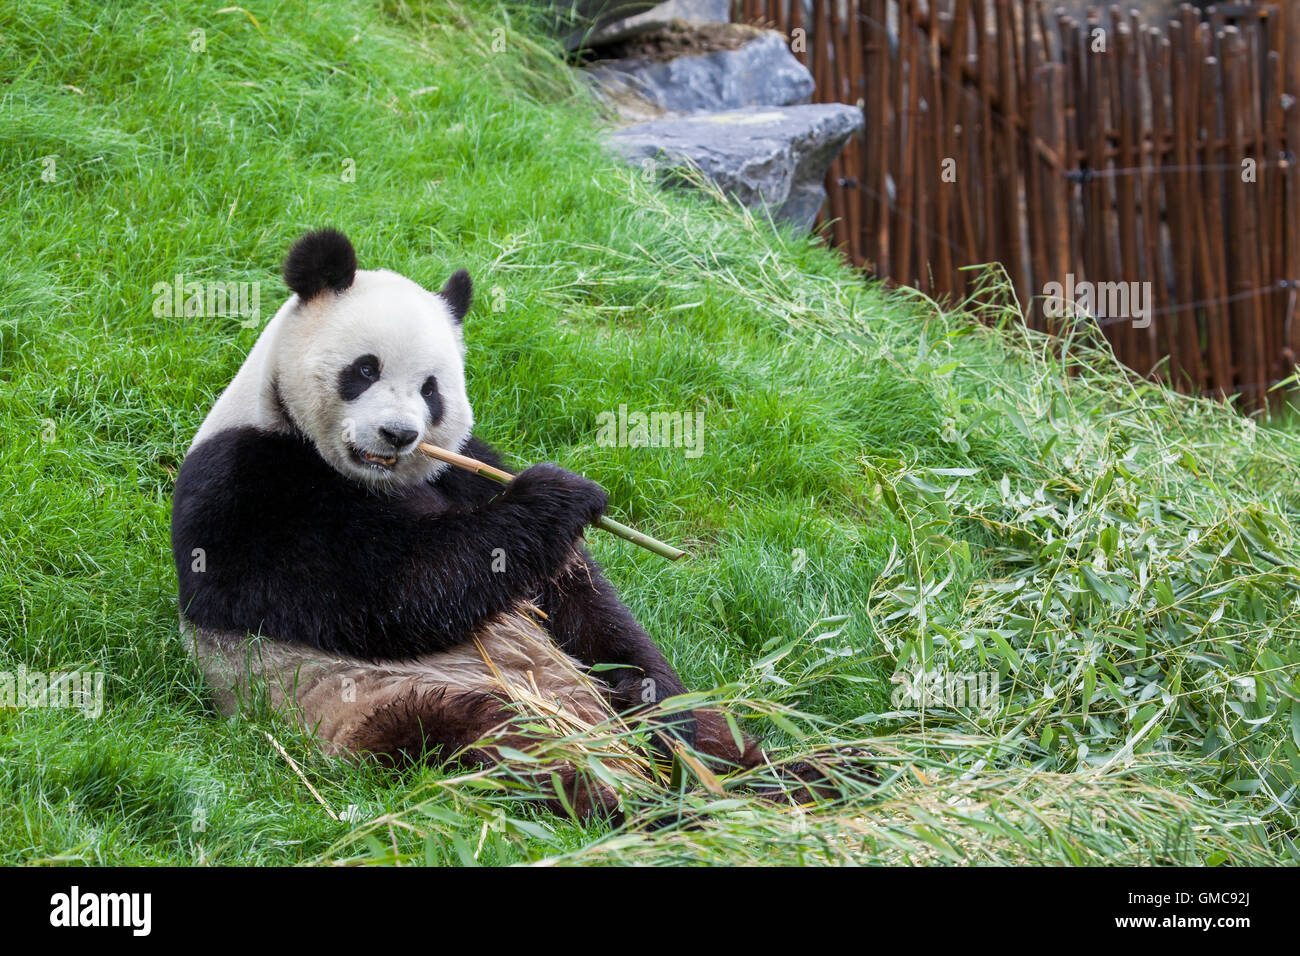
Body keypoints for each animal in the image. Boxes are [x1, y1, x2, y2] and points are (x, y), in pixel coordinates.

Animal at [172, 227, 785, 816]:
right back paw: (639, 805)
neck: (366, 478)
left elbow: (582, 602)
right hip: (384, 699)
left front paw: (657, 705)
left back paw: (771, 783)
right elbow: (390, 593)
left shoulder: (465, 467)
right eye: (365, 370)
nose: (398, 434)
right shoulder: (245, 485)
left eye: (431, 390)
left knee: (724, 739)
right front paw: (562, 493)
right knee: (506, 741)